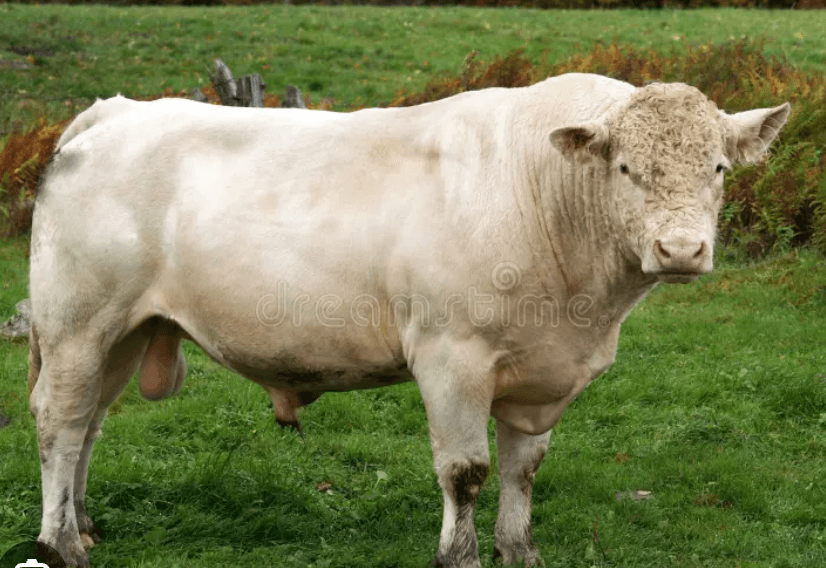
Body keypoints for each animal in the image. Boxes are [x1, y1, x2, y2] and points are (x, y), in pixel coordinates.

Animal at [28, 74, 790, 567]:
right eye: (627, 168)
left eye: (719, 168)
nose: (681, 250)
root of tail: (115, 111)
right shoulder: (453, 357)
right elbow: (466, 471)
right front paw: (462, 555)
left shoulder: (540, 371)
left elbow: (524, 470)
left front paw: (520, 550)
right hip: (76, 324)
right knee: (61, 423)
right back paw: (59, 543)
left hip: (125, 333)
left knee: (91, 423)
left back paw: (83, 524)